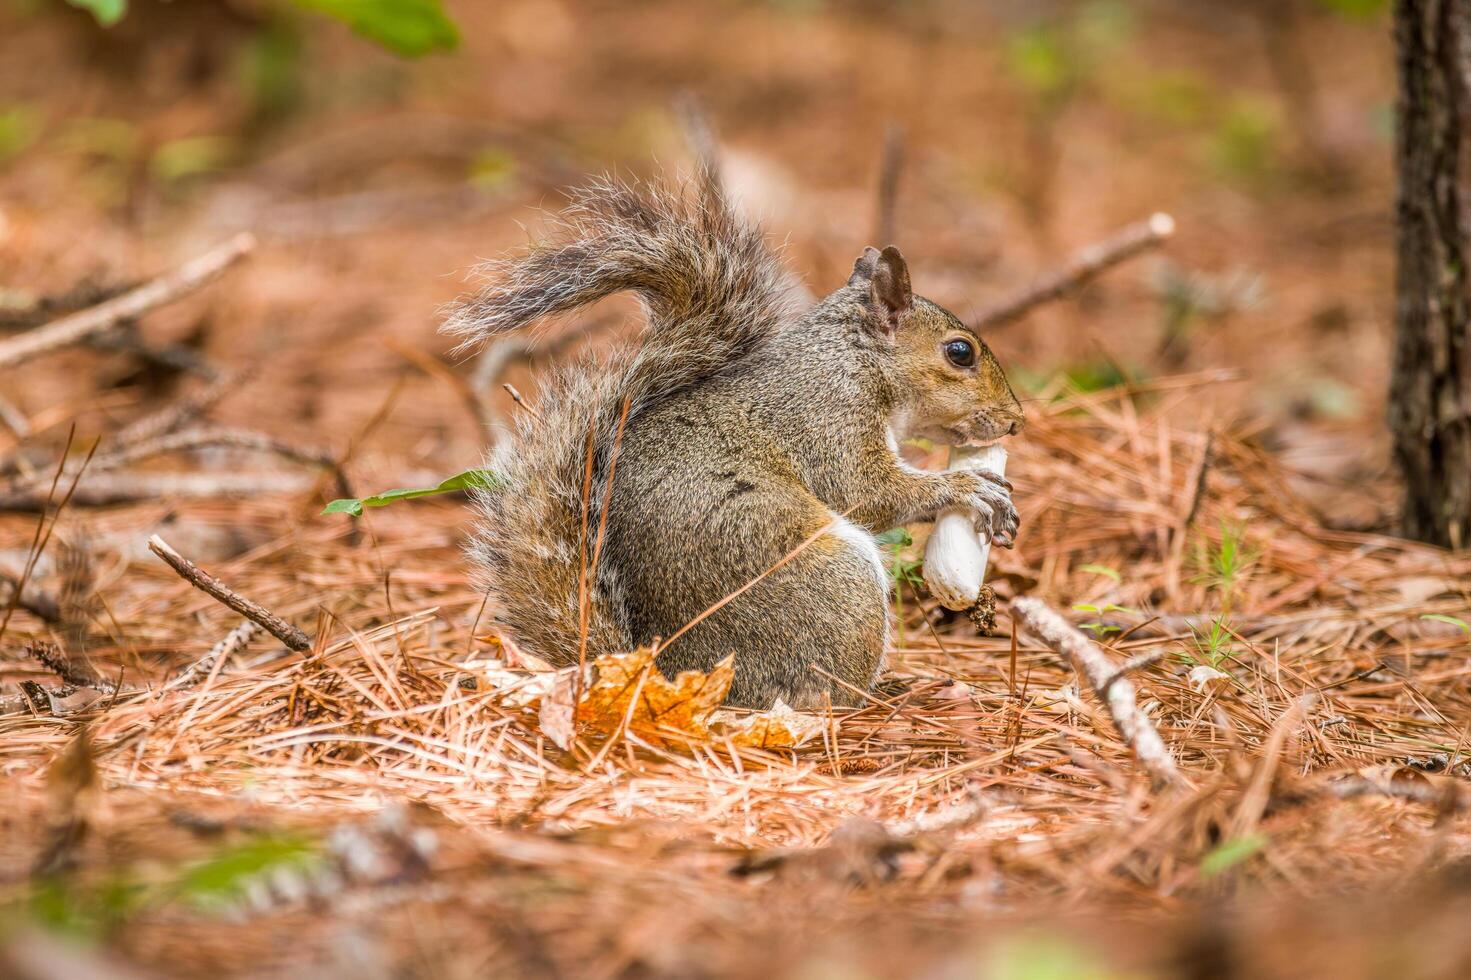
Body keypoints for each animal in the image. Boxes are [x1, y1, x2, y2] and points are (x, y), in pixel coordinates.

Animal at [441, 171, 1029, 706]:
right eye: (959, 352)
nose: (1015, 420)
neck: (850, 360)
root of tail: (670, 678)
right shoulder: (826, 418)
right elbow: (867, 491)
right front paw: (967, 487)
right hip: (831, 581)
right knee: (823, 694)